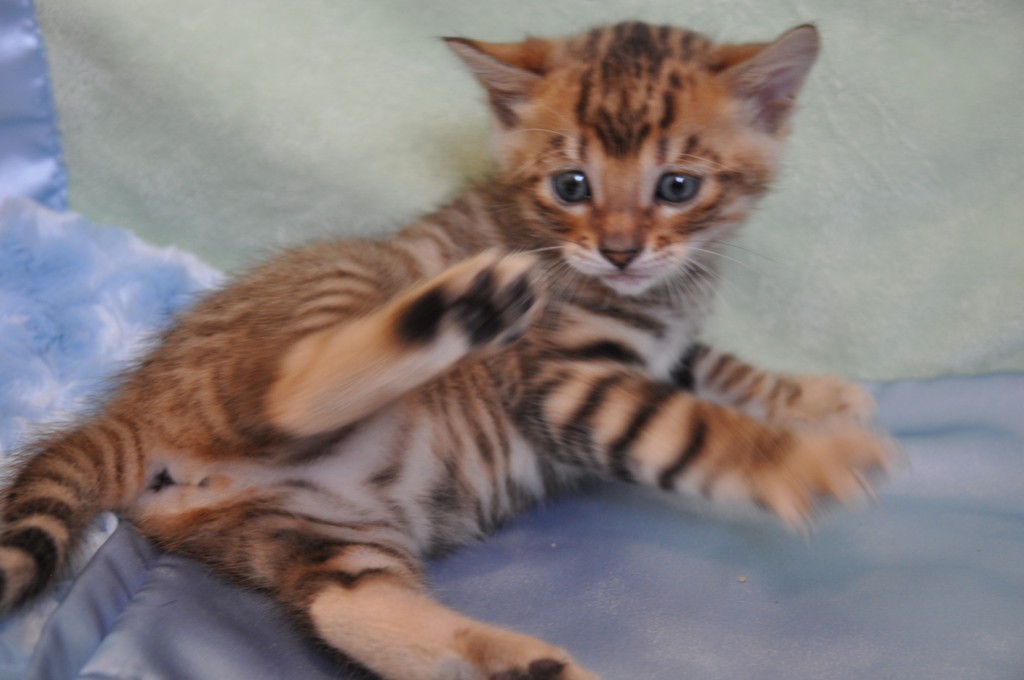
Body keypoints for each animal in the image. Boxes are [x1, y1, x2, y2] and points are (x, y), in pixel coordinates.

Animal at [0, 21, 897, 680]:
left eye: (677, 186)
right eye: (571, 185)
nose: (619, 251)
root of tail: (136, 402)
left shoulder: (668, 346)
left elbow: (721, 366)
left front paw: (813, 396)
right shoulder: (565, 378)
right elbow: (693, 426)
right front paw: (796, 460)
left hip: (309, 528)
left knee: (345, 603)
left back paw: (518, 665)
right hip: (339, 283)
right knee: (281, 392)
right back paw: (460, 307)